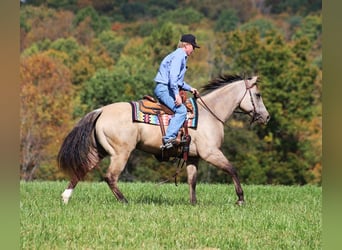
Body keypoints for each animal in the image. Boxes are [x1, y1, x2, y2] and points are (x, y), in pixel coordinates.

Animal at [57, 73, 270, 205]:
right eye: (258, 95)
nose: (266, 117)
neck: (209, 113)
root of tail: (101, 110)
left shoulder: (193, 157)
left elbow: (192, 181)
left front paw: (194, 203)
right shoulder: (211, 153)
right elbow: (232, 169)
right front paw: (240, 198)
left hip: (99, 151)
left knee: (81, 170)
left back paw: (66, 197)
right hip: (121, 153)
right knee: (110, 177)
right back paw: (125, 201)